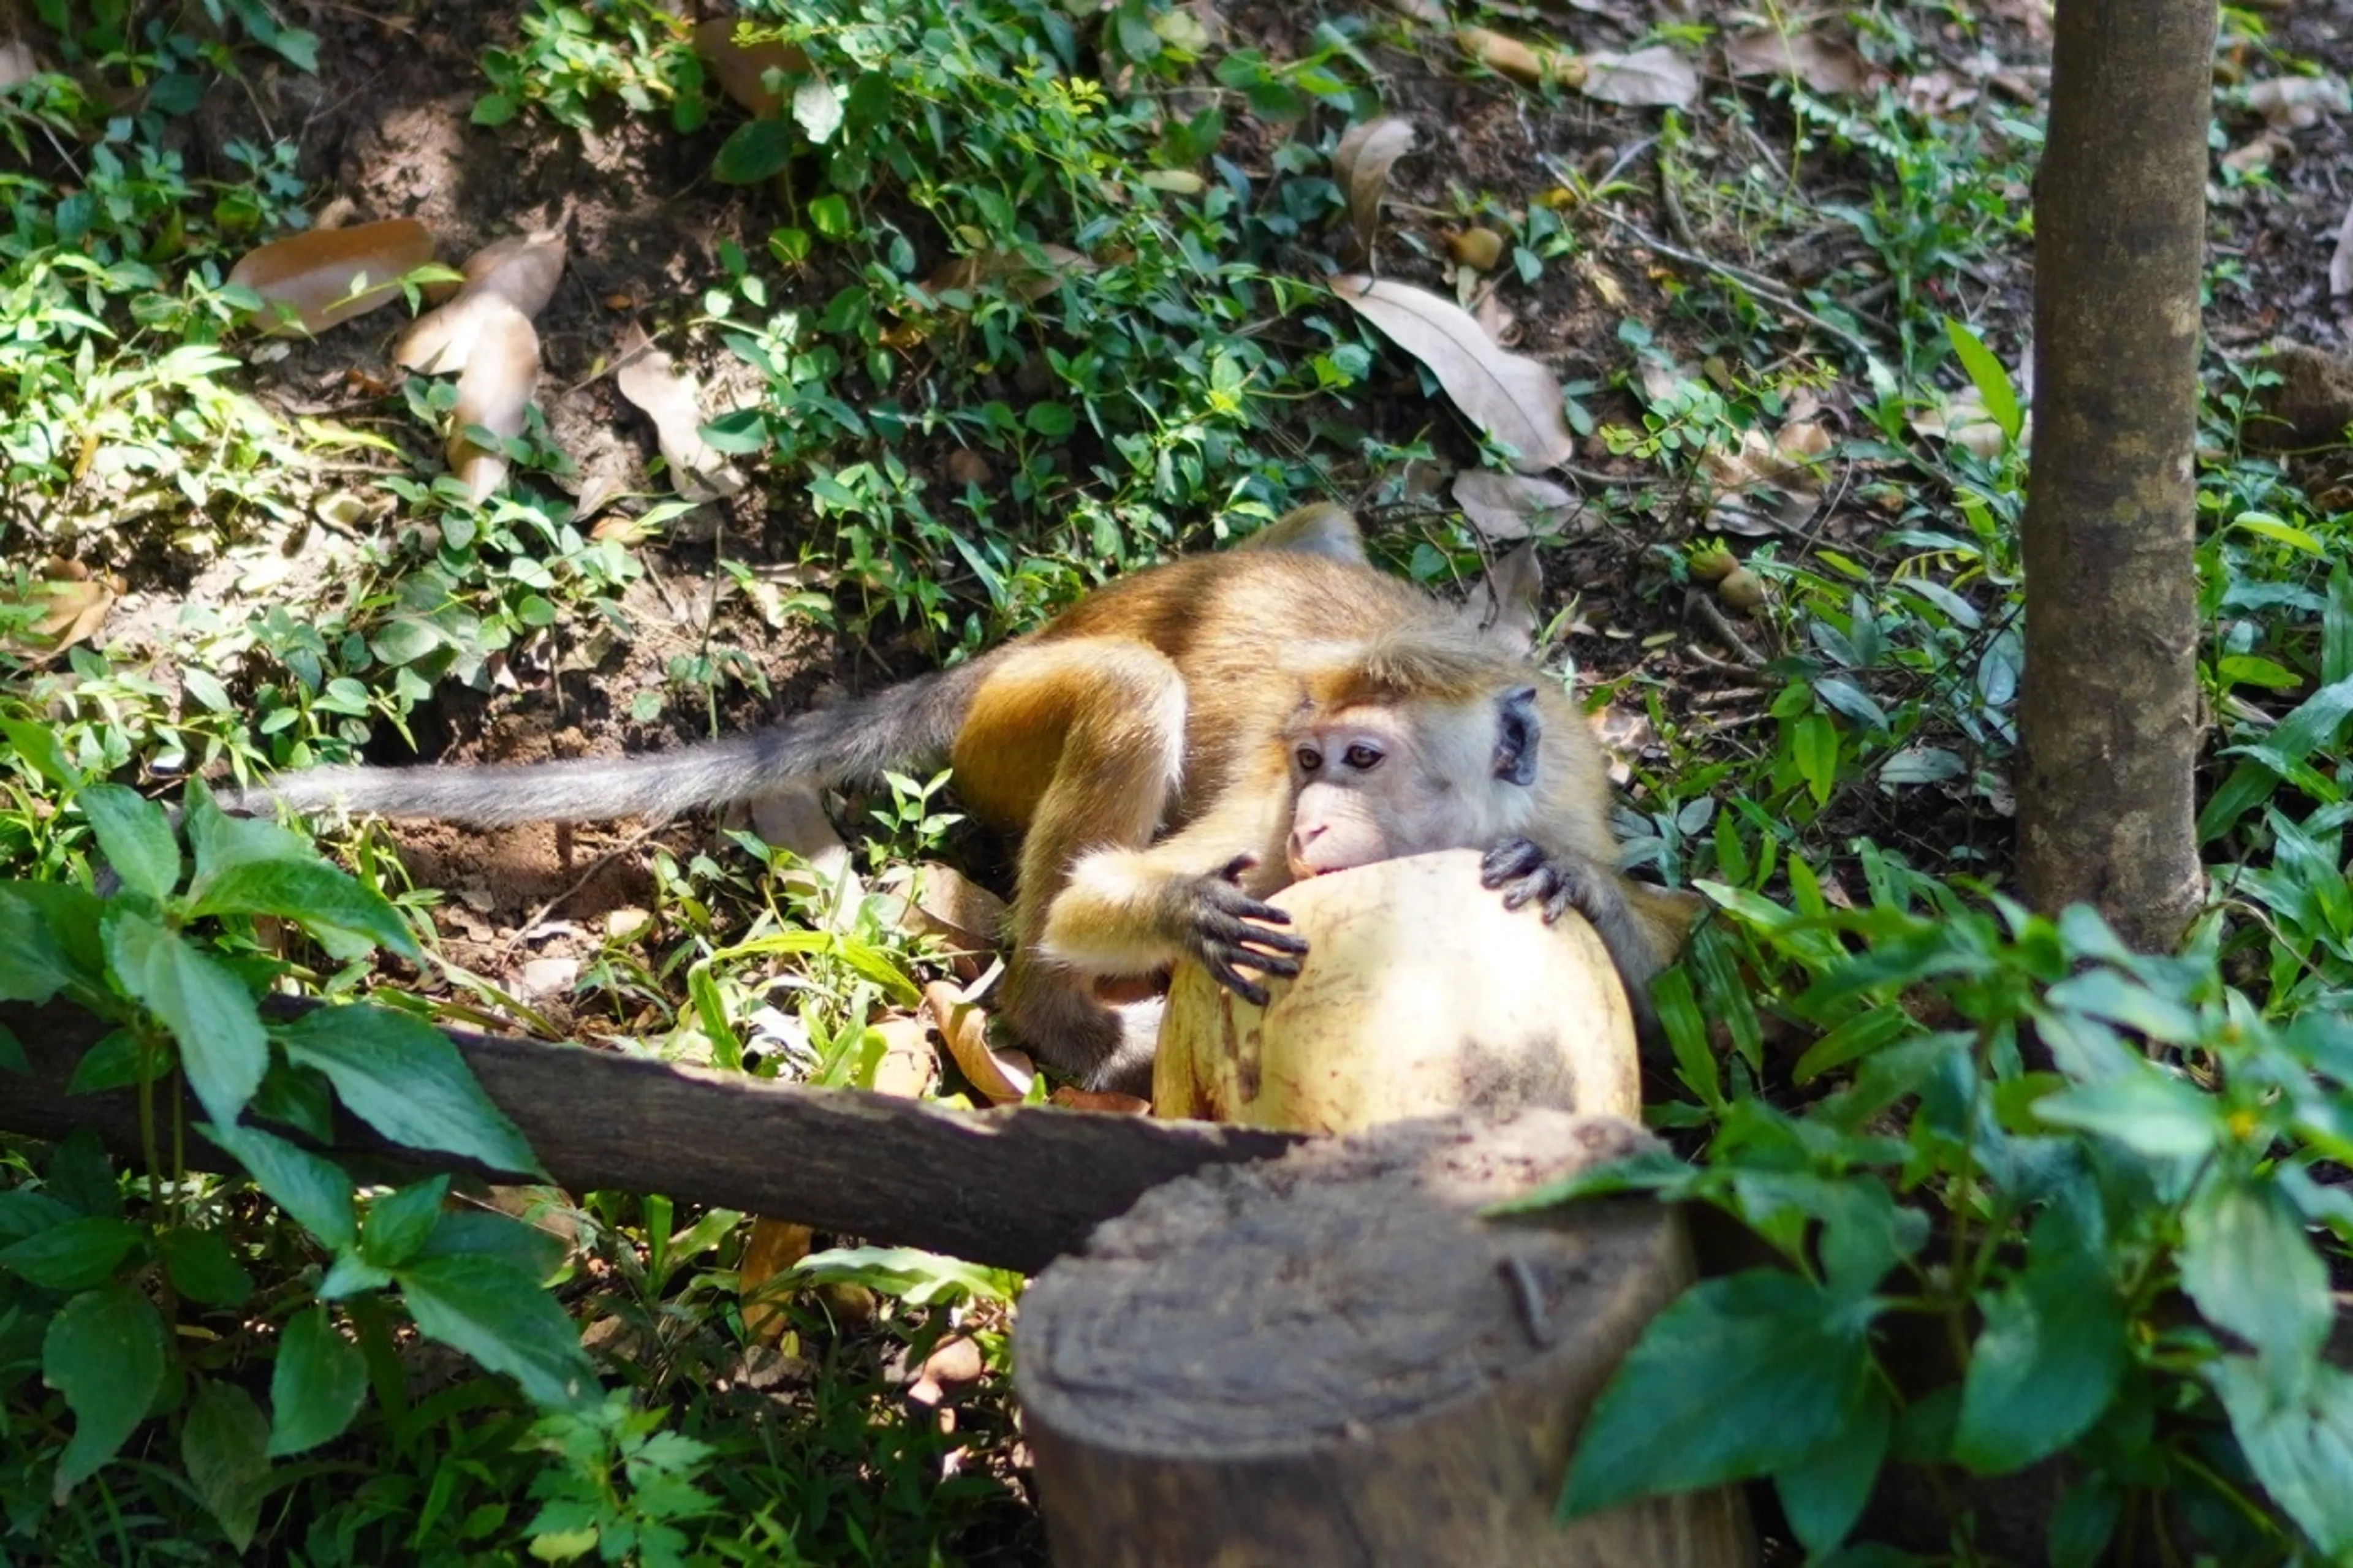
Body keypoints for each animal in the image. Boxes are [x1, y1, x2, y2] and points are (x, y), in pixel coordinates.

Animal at [230, 504, 1693, 1092]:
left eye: (1366, 760)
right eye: (1311, 758)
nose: (1320, 818)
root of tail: (1035, 630)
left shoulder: (1569, 790)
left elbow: (1676, 973)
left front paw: (1582, 895)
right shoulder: (1264, 831)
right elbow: (1109, 894)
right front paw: (1183, 918)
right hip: (1012, 721)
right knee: (1130, 692)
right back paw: (1064, 1019)